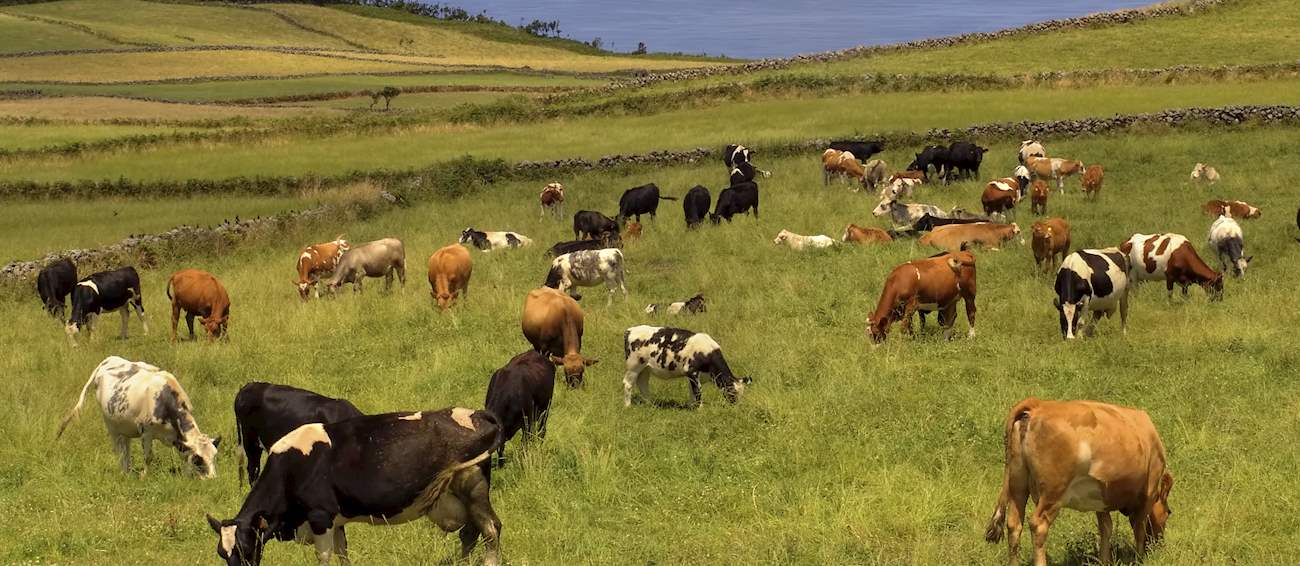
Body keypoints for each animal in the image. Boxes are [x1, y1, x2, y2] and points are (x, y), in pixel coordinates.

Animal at [57, 356, 219, 477]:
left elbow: (183, 455)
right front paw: (144, 476)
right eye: (198, 460)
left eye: (214, 456)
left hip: (124, 425)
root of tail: (108, 359)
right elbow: (148, 457)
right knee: (119, 449)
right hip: (110, 424)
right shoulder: (146, 431)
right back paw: (123, 471)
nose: (212, 478)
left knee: (126, 447)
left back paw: (128, 469)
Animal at [205, 408, 503, 566]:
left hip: (472, 485)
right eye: (222, 553)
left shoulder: (320, 516)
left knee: (490, 528)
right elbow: (342, 555)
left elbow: (324, 557)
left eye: (245, 548)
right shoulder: (336, 522)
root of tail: (476, 413)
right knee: (470, 533)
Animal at [984, 398, 1173, 566]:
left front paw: (1105, 561)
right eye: (1168, 512)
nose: (1159, 544)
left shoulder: (1102, 496)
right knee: (1038, 525)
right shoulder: (1148, 491)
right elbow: (1139, 528)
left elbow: (1106, 527)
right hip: (1053, 491)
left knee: (1014, 525)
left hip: (1018, 484)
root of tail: (1038, 404)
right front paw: (1139, 559)